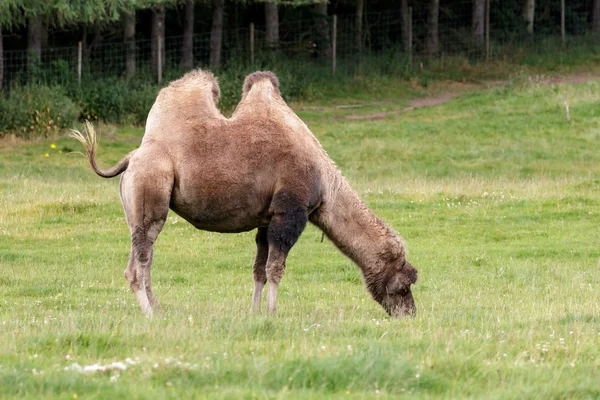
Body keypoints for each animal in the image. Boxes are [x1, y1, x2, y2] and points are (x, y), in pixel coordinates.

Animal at [70, 69, 418, 318]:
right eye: (405, 285)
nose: (410, 315)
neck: (326, 184)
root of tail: (132, 156)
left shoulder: (267, 218)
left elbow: (259, 270)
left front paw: (254, 313)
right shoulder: (289, 212)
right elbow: (276, 269)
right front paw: (273, 314)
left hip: (138, 207)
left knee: (144, 256)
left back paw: (159, 308)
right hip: (150, 189)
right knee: (139, 262)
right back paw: (150, 314)